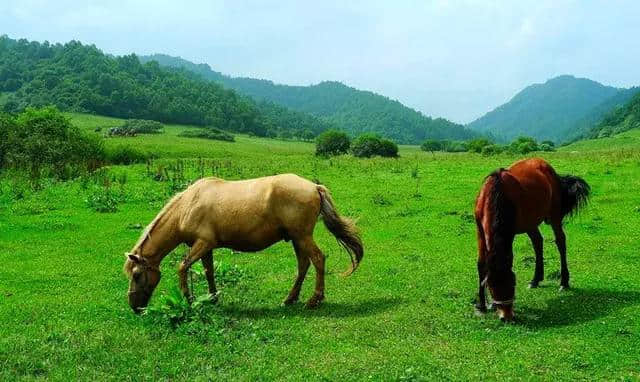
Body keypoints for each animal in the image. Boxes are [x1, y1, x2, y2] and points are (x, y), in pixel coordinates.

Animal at [122, 173, 362, 314]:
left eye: (137, 275)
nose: (134, 306)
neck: (187, 206)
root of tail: (314, 187)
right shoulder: (206, 247)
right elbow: (209, 271)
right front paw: (213, 298)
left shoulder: (203, 243)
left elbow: (182, 267)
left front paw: (189, 300)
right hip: (296, 238)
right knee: (303, 264)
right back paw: (290, 298)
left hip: (302, 236)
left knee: (318, 259)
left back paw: (314, 300)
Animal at [476, 157, 592, 320]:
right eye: (491, 286)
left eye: (513, 283)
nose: (507, 316)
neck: (496, 194)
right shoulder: (480, 231)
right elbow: (481, 265)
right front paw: (482, 306)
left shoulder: (509, 232)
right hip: (529, 223)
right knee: (538, 242)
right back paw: (536, 279)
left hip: (554, 216)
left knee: (560, 242)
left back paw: (564, 281)